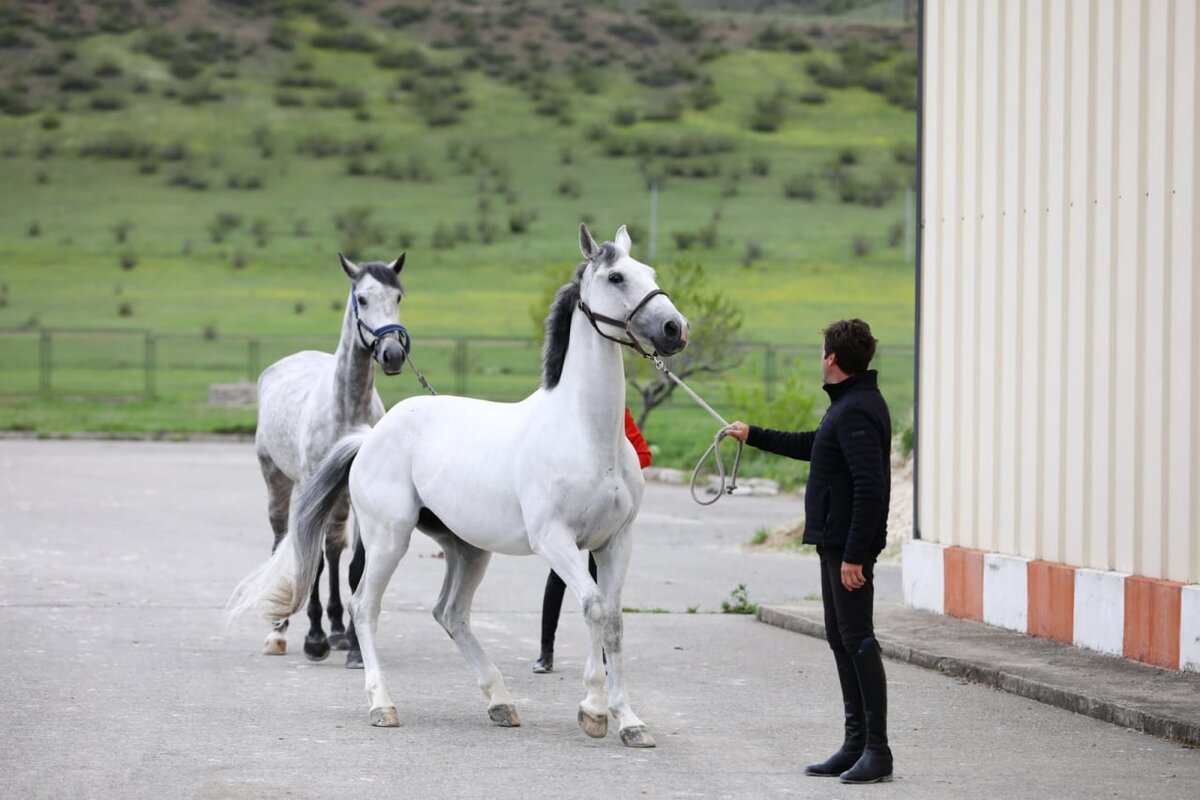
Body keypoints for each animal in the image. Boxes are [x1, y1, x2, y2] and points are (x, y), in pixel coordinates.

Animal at [253, 253, 408, 666]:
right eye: (363, 298)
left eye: (398, 296)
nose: (393, 354)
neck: (347, 410)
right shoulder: (309, 486)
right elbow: (313, 560)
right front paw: (314, 640)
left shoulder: (359, 493)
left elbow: (355, 564)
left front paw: (353, 644)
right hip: (277, 480)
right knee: (284, 539)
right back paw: (279, 633)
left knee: (334, 547)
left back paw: (337, 629)